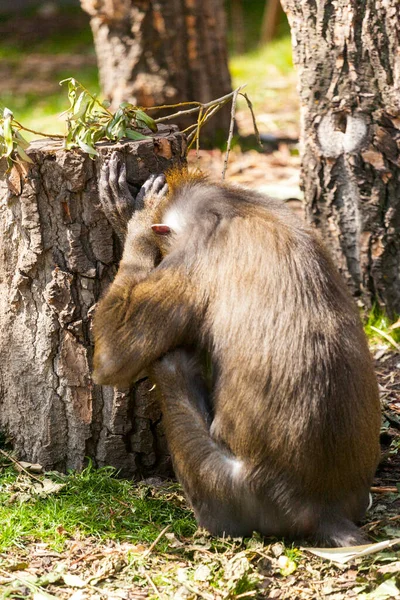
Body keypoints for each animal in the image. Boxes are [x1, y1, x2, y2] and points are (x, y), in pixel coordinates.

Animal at [94, 155, 382, 548]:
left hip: (227, 492)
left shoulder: (191, 257)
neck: (233, 206)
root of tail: (323, 509)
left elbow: (112, 359)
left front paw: (132, 222)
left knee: (171, 361)